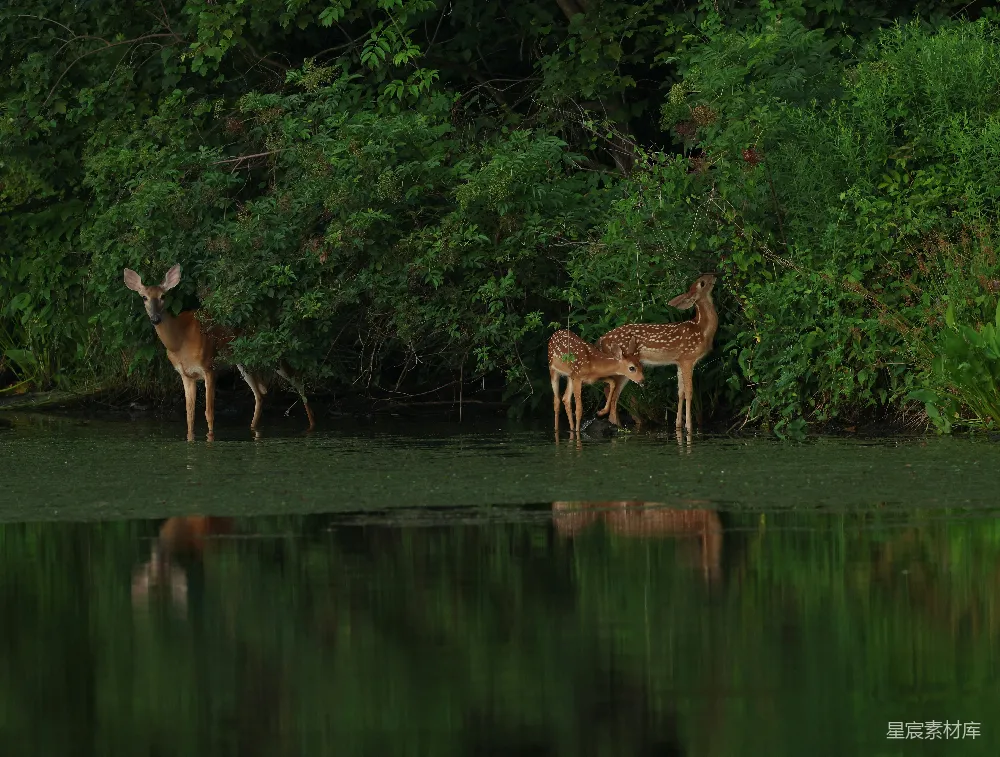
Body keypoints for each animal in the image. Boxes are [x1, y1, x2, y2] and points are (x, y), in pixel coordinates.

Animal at [124, 263, 315, 441]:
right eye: (144, 297)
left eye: (163, 296)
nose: (155, 319)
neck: (179, 343)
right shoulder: (186, 375)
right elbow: (189, 415)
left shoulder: (209, 367)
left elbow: (209, 412)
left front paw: (210, 439)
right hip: (242, 361)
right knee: (261, 392)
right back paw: (253, 429)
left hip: (272, 351)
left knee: (298, 381)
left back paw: (312, 426)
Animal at [596, 273, 718, 434]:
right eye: (702, 283)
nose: (715, 275)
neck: (702, 330)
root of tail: (601, 340)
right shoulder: (688, 358)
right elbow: (689, 392)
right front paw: (689, 427)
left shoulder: (679, 361)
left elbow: (680, 392)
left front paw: (678, 425)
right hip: (621, 364)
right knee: (612, 391)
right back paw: (619, 426)